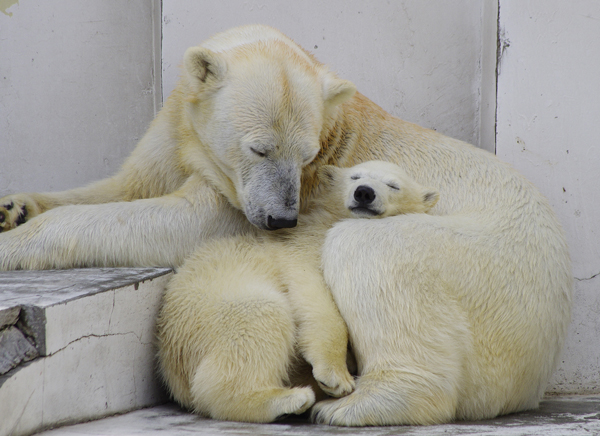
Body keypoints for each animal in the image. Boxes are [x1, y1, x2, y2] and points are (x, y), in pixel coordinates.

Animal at [0, 24, 572, 426]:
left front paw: (15, 245)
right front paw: (13, 209)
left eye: (308, 154)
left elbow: (173, 220)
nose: (280, 219)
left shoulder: (241, 203)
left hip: (480, 272)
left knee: (369, 254)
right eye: (260, 148)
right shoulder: (177, 127)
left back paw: (351, 403)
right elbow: (125, 185)